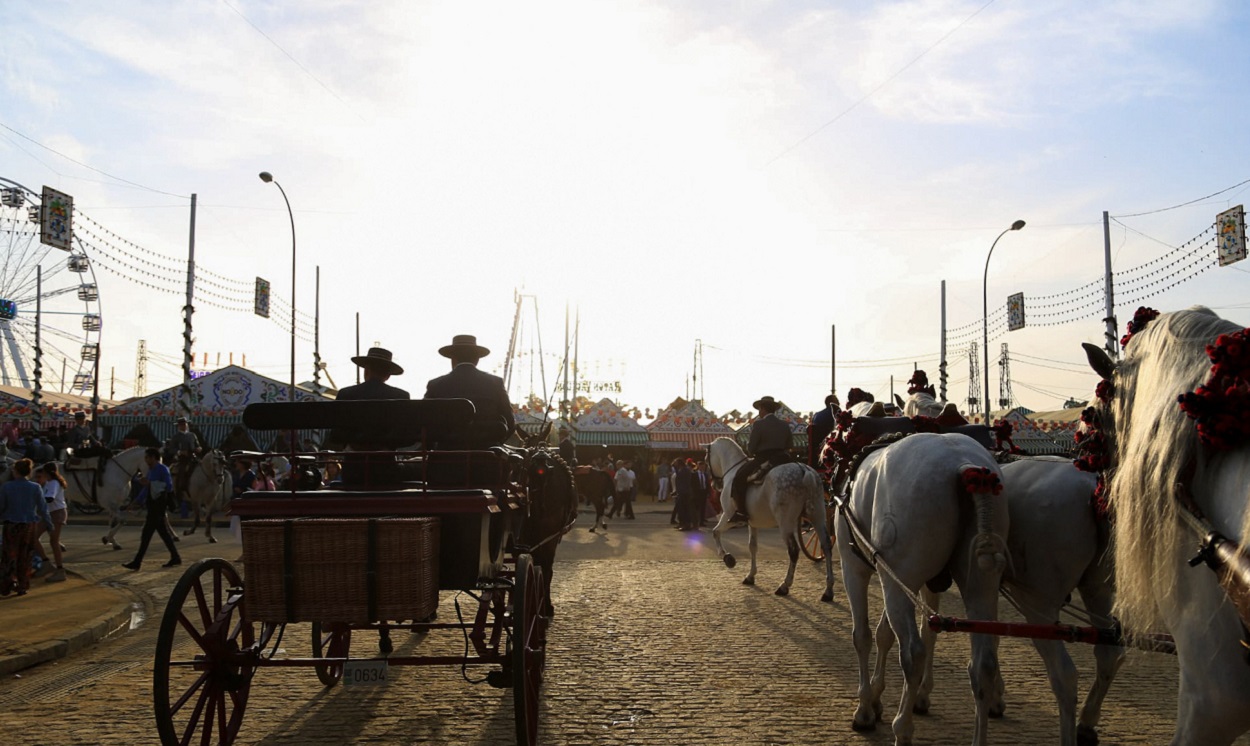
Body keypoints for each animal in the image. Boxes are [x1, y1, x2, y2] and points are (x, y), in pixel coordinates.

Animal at [710, 437, 835, 599]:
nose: (714, 484)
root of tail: (804, 470)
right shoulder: (752, 523)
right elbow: (752, 546)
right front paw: (750, 576)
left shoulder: (728, 515)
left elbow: (715, 532)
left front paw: (728, 558)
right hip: (818, 516)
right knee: (826, 545)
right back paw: (828, 589)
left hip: (785, 523)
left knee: (794, 550)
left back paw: (784, 586)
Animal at [835, 429, 1010, 744]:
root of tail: (964, 465)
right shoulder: (908, 581)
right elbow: (891, 634)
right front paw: (881, 697)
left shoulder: (855, 569)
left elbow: (864, 636)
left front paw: (866, 707)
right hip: (979, 584)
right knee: (984, 664)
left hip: (897, 577)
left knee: (913, 653)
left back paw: (902, 728)